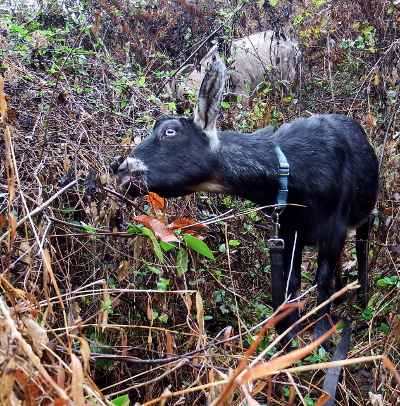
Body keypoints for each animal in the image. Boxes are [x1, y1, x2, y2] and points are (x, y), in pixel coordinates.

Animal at [117, 60, 380, 348]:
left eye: (170, 131)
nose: (120, 172)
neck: (293, 172)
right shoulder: (289, 231)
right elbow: (291, 284)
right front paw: (287, 338)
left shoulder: (333, 227)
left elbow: (321, 281)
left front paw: (323, 339)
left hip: (365, 211)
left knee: (363, 241)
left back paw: (362, 295)